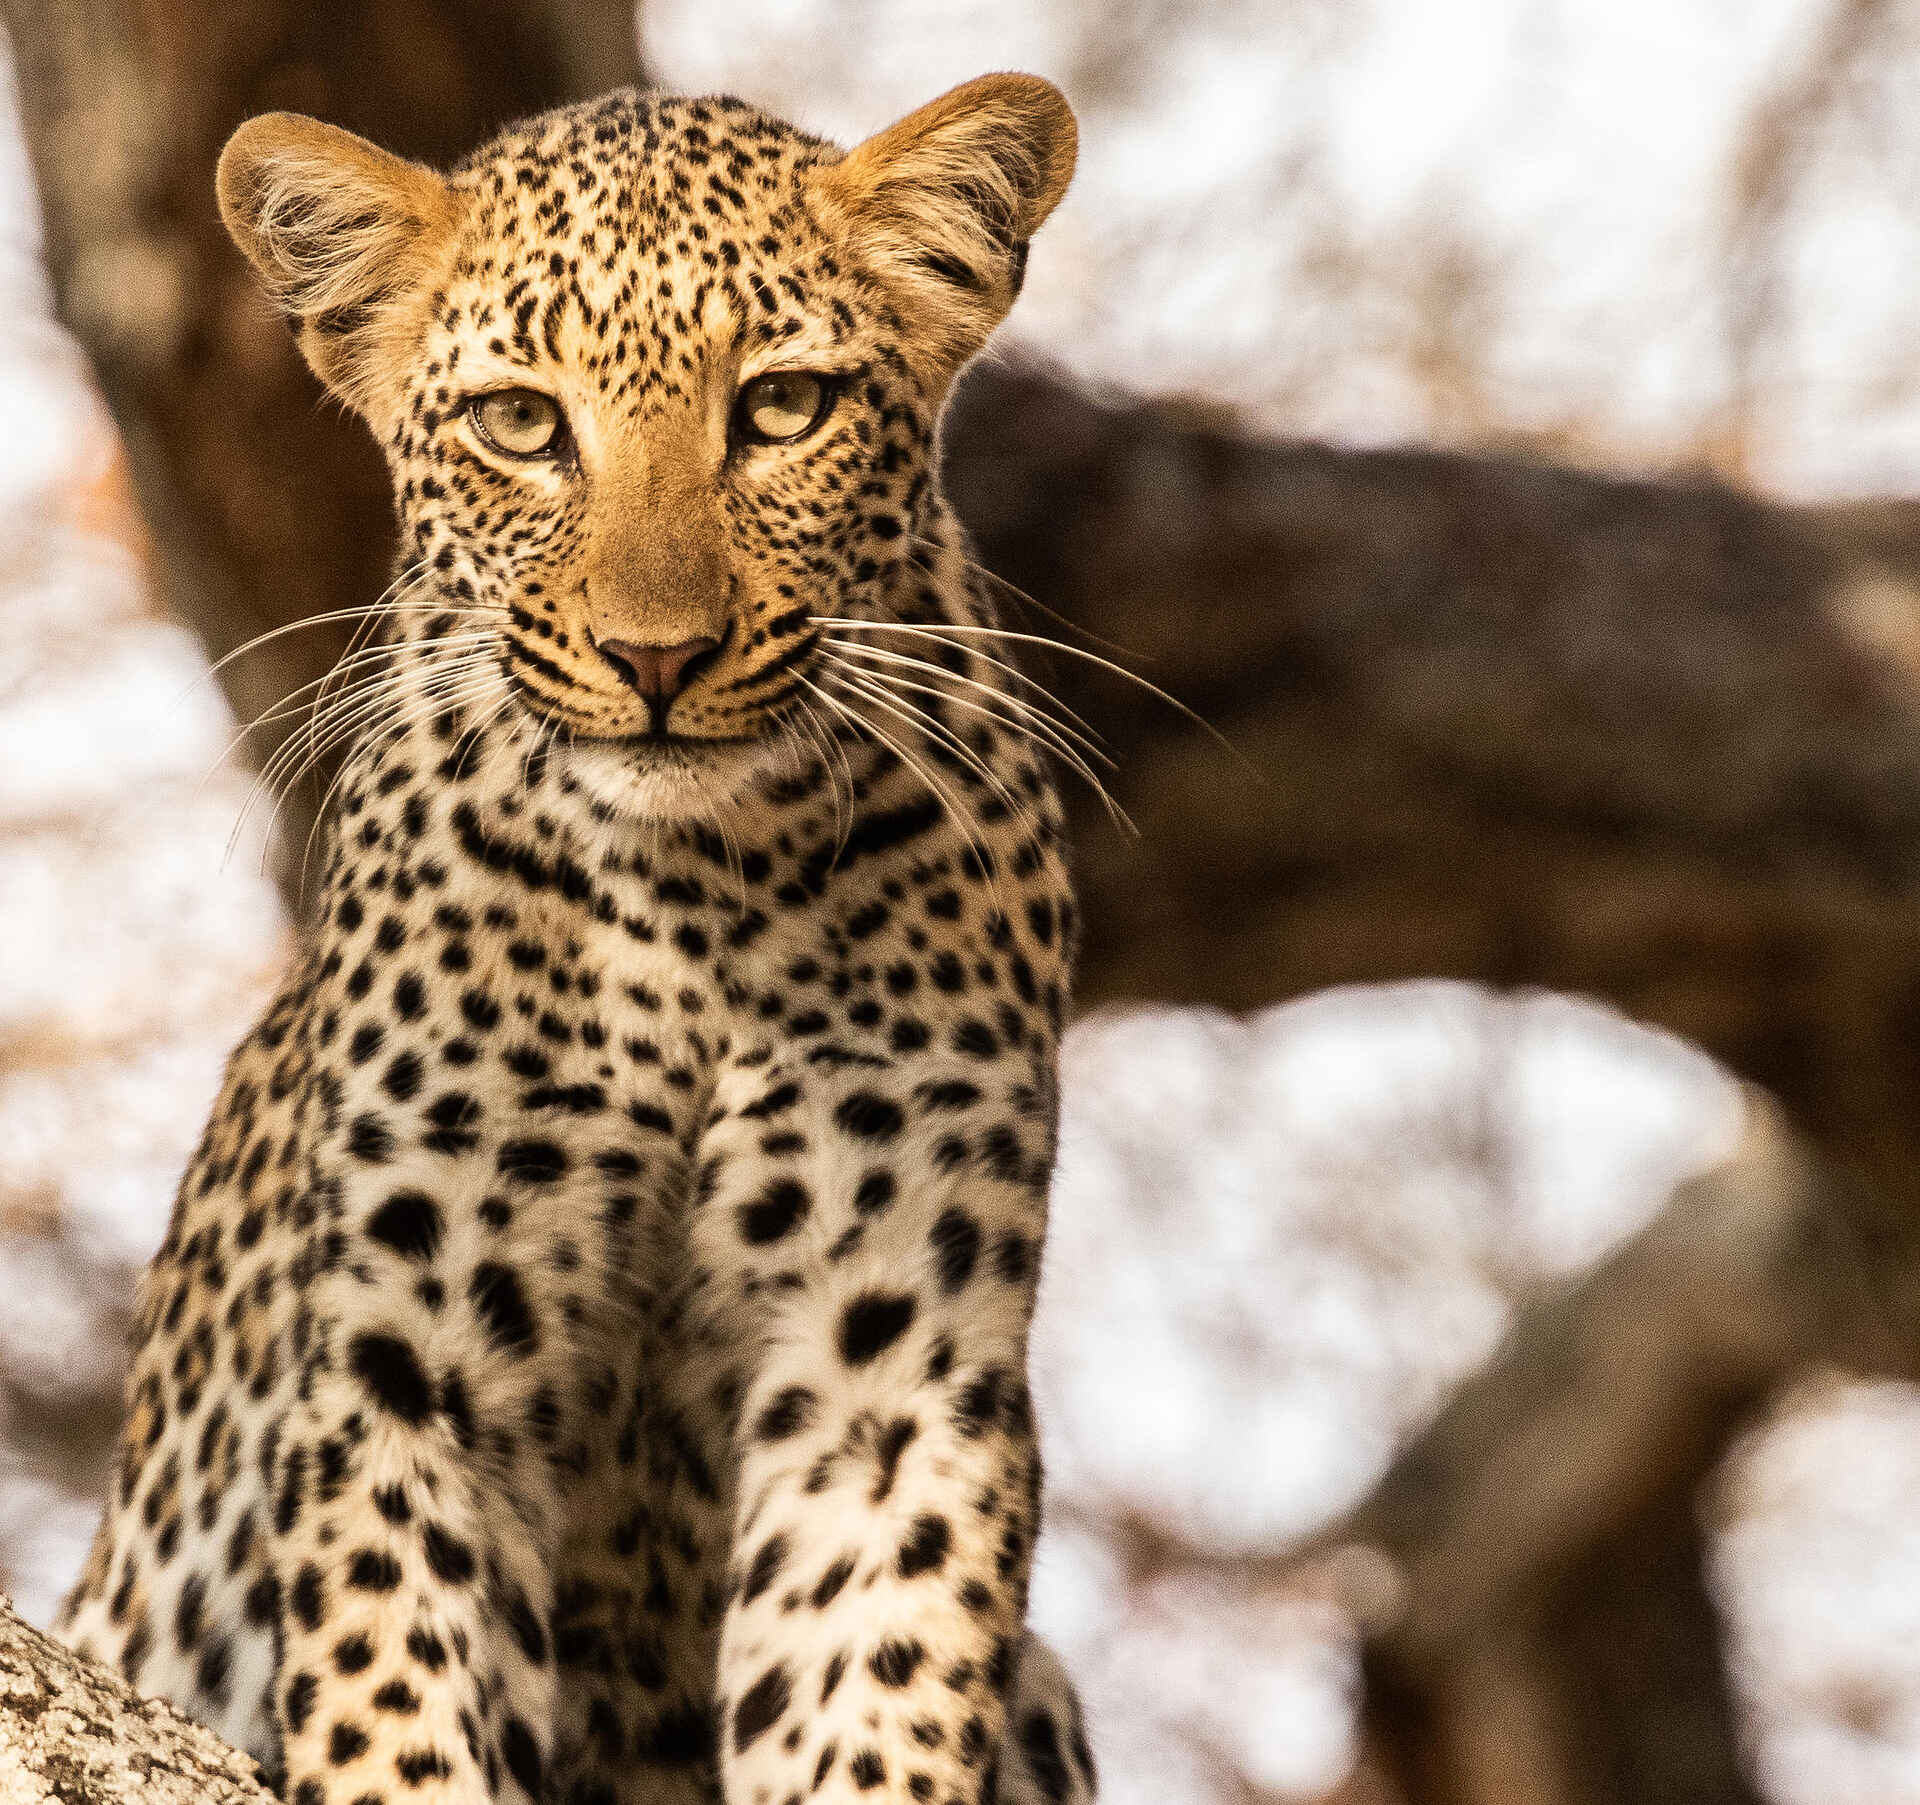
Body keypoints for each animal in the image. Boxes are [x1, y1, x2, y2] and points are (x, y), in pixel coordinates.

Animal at [52, 71, 1100, 1805]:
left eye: (783, 407)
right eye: (523, 425)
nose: (656, 656)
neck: (700, 891)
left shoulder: (891, 1372)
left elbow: (875, 1693)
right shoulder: (414, 1361)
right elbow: (399, 1695)